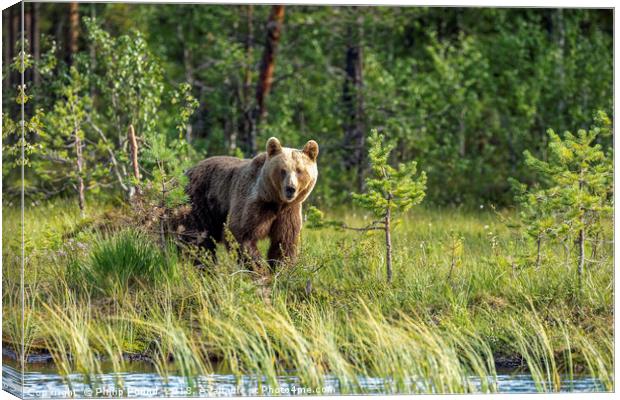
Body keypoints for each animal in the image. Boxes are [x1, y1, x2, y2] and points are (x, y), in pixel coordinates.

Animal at [183, 138, 320, 268]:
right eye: (283, 170)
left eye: (299, 170)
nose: (290, 188)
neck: (276, 201)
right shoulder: (255, 203)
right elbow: (242, 234)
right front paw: (260, 269)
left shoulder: (289, 210)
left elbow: (284, 243)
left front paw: (281, 269)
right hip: (199, 201)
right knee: (199, 240)